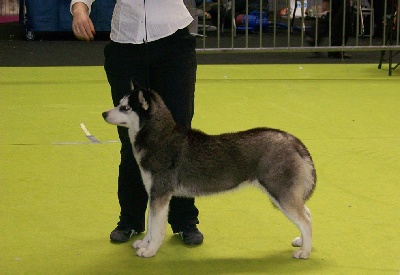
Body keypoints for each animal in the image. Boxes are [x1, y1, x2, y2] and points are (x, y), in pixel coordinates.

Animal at [101, 87, 318, 260]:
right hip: (282, 193)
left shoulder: (160, 194)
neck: (159, 138)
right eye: (119, 103)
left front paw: (150, 250)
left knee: (305, 220)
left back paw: (304, 252)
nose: (103, 113)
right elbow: (150, 223)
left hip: (279, 192)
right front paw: (145, 243)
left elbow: (156, 227)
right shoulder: (154, 194)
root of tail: (291, 139)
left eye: (125, 108)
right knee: (307, 212)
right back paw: (302, 241)